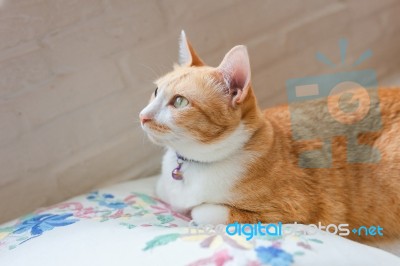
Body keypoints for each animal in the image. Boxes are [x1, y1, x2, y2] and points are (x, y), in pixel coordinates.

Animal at [139, 31, 398, 243]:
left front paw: (191, 210)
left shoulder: (289, 211)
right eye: (156, 91)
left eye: (179, 102)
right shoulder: (162, 188)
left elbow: (201, 211)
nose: (142, 116)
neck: (193, 164)